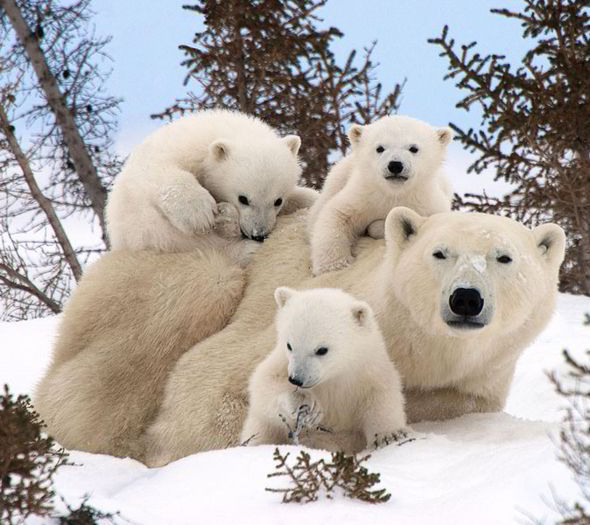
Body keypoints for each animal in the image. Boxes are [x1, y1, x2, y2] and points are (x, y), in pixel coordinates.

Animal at [33, 207, 568, 464]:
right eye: (440, 252)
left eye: (504, 257)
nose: (465, 299)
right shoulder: (308, 309)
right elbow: (216, 378)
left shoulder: (479, 380)